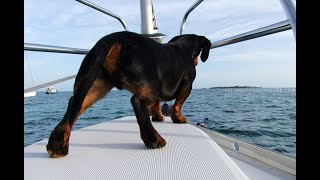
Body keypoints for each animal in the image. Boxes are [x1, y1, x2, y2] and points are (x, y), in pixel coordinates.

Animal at [46, 31, 211, 158]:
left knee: (72, 107)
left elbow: (157, 105)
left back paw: (57, 146)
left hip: (94, 85)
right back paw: (154, 140)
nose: (197, 61)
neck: (183, 48)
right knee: (137, 101)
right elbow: (177, 105)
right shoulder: (187, 84)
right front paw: (179, 119)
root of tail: (114, 37)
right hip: (149, 86)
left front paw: (158, 117)